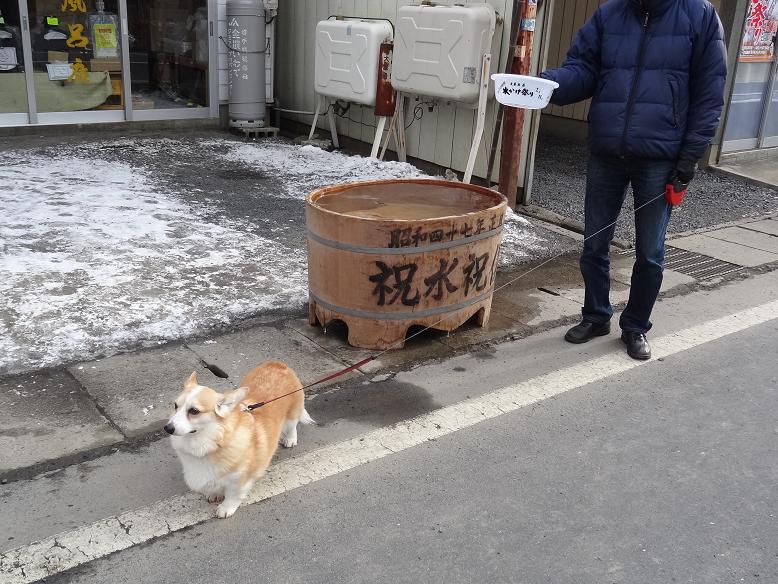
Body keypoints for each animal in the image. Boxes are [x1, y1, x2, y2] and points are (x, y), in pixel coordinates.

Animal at [164, 362, 312, 516]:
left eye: (194, 411)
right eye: (175, 406)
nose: (167, 428)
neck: (210, 442)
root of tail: (278, 364)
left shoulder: (239, 480)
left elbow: (233, 495)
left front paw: (225, 508)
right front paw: (214, 494)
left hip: (292, 414)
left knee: (292, 426)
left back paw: (290, 439)